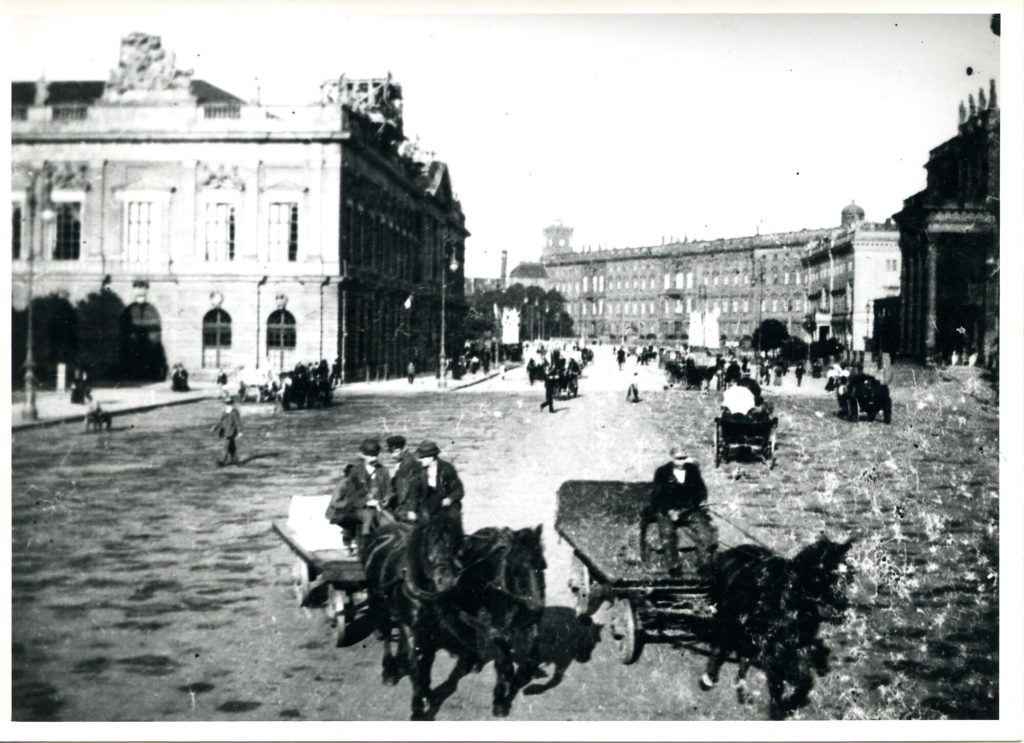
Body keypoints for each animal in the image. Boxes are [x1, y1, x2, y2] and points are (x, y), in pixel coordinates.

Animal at [696, 536, 856, 720]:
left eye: (849, 577)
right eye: (832, 576)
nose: (844, 610)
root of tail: (729, 553)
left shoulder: (788, 648)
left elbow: (803, 679)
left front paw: (787, 704)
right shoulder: (768, 647)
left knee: (743, 658)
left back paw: (742, 691)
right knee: (724, 645)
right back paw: (712, 676)